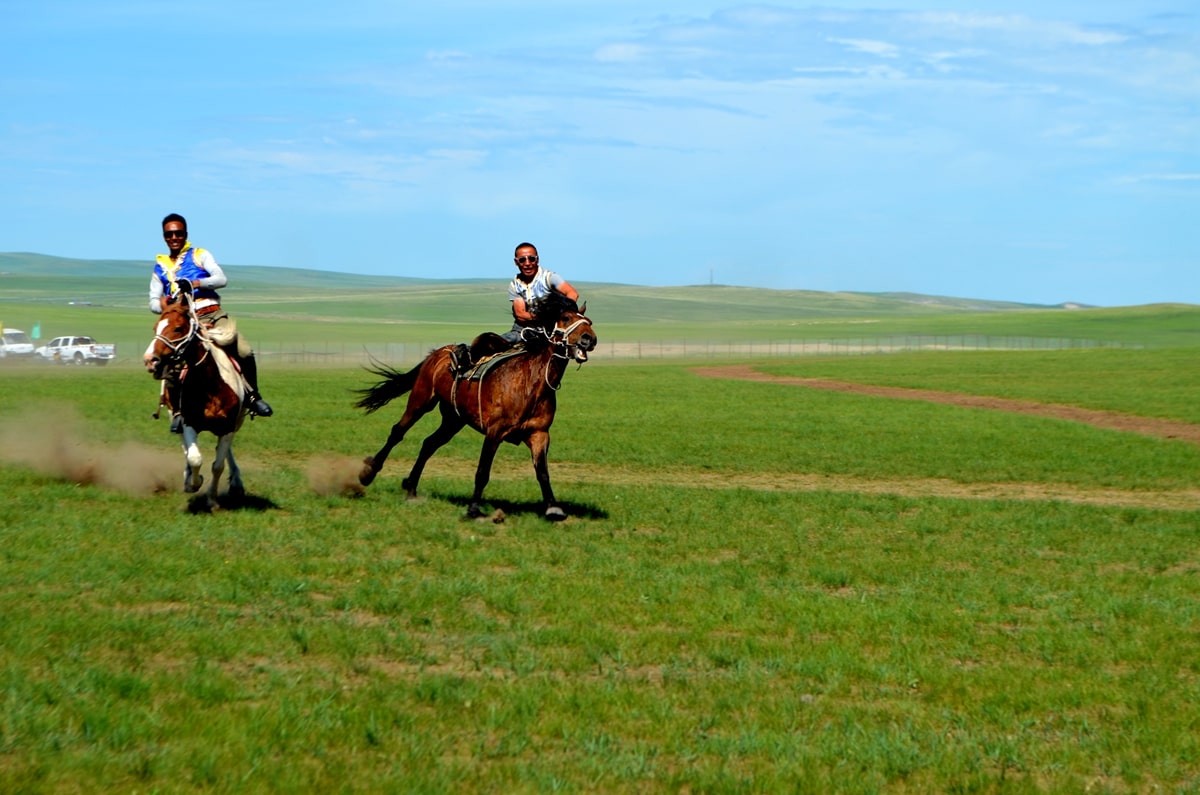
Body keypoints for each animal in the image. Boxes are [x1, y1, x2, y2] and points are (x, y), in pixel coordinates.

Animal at [145, 288, 248, 511]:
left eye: (178, 327)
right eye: (156, 327)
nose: (150, 360)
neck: (210, 386)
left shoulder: (228, 426)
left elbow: (218, 465)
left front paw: (212, 500)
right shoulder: (188, 422)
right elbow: (194, 458)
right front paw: (193, 483)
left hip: (238, 421)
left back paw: (236, 482)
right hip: (173, 414)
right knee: (185, 446)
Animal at [355, 295, 600, 521]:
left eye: (589, 321)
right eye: (566, 318)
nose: (589, 339)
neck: (531, 383)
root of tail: (438, 353)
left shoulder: (539, 434)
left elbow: (543, 473)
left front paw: (553, 508)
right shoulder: (494, 432)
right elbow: (483, 471)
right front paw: (473, 509)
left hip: (454, 419)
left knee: (429, 444)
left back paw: (411, 488)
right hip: (420, 401)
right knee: (398, 432)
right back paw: (368, 473)